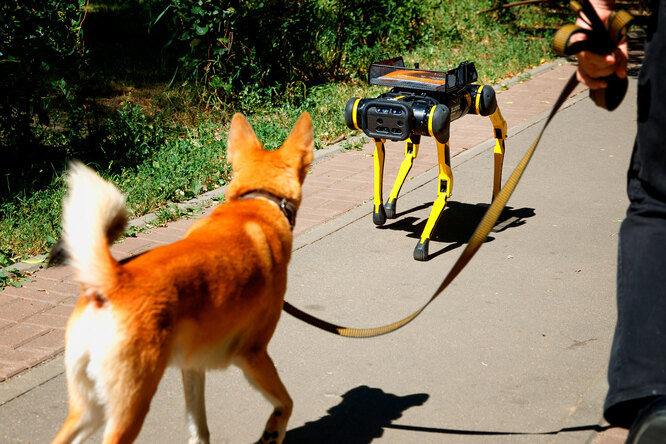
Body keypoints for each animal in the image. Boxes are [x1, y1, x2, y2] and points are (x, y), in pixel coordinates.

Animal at [49, 112, 314, 442]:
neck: (258, 202)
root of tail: (114, 279)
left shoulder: (193, 366)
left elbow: (199, 430)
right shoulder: (252, 354)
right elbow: (286, 403)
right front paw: (273, 430)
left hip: (89, 410)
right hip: (129, 409)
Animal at [344, 58, 506, 260]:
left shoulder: (440, 124)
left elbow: (445, 182)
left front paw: (422, 245)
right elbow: (379, 161)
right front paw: (380, 212)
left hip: (482, 101)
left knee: (499, 128)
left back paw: (495, 201)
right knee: (410, 154)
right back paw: (389, 205)